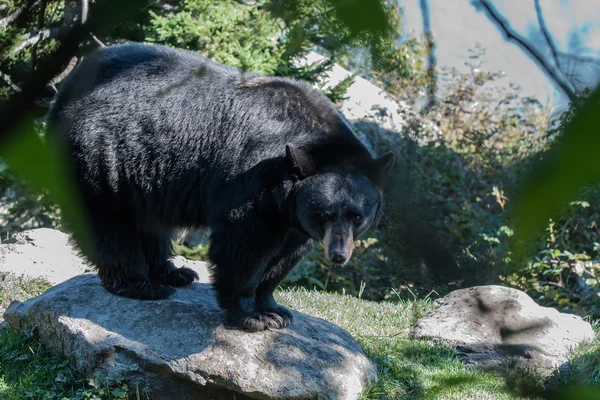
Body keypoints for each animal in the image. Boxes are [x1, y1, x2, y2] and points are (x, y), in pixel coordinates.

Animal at [47, 42, 394, 332]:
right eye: (324, 214)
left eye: (357, 216)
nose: (338, 255)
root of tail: (68, 83)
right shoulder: (253, 178)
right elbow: (243, 245)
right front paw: (254, 316)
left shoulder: (293, 211)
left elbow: (285, 256)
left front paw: (274, 307)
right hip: (101, 155)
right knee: (108, 222)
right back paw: (141, 284)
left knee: (151, 222)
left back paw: (174, 272)